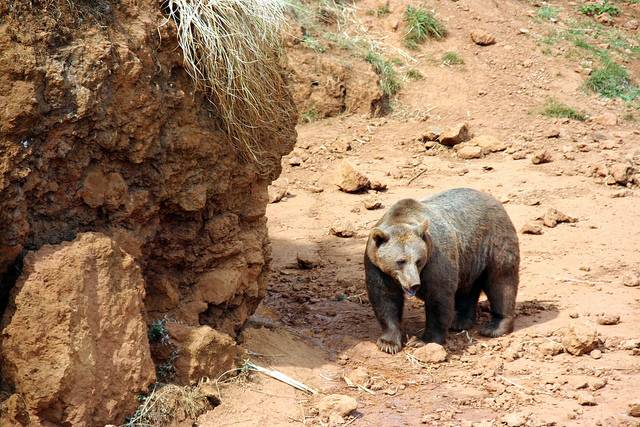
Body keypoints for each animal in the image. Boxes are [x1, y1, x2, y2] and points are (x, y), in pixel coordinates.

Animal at [364, 188, 520, 354]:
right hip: (468, 259)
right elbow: (385, 299)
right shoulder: (376, 266)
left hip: (494, 242)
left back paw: (494, 328)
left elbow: (438, 299)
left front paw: (422, 341)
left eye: (418, 261)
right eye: (400, 261)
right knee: (468, 289)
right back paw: (459, 321)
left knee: (501, 282)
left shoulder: (436, 260)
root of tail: (492, 198)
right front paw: (388, 343)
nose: (414, 284)